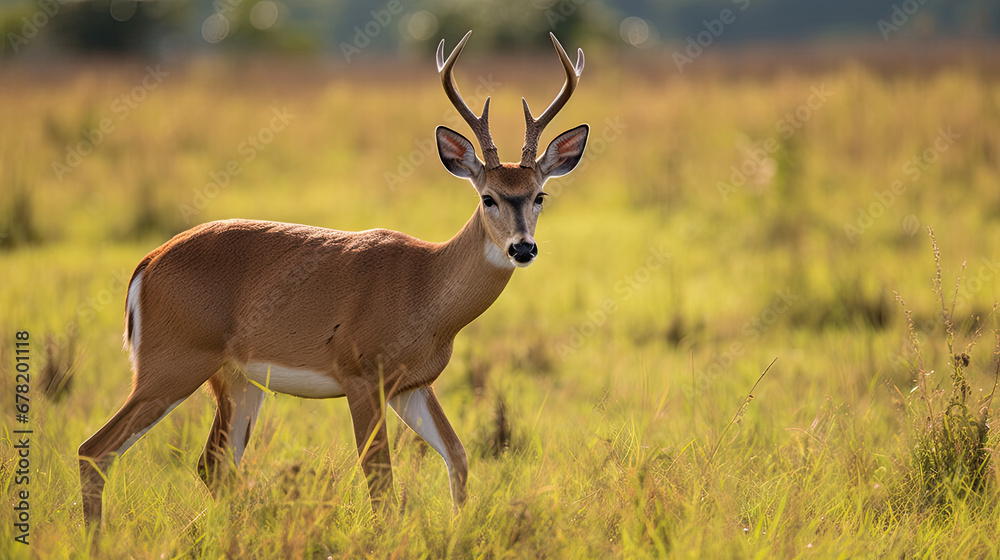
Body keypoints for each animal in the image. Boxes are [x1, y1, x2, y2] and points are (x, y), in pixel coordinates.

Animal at [82, 30, 588, 528]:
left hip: (236, 379)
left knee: (213, 465)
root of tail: (147, 264)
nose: (522, 248)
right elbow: (380, 479)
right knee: (96, 451)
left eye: (539, 195)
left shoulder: (413, 384)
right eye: (488, 197)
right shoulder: (360, 375)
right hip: (171, 364)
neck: (426, 285)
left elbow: (458, 457)